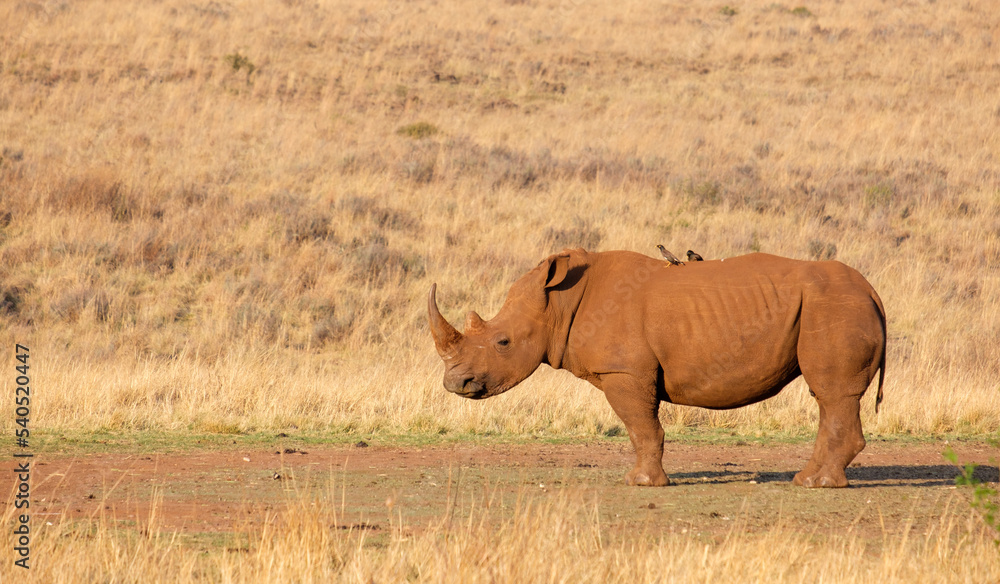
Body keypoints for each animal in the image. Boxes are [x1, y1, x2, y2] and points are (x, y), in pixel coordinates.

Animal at [429, 249, 887, 488]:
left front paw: (641, 483)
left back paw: (813, 484)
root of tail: (872, 291)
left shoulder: (624, 371)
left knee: (832, 393)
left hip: (834, 307)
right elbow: (641, 427)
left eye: (502, 342)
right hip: (833, 306)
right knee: (829, 398)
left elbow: (640, 426)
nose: (454, 383)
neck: (558, 303)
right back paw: (809, 480)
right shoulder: (627, 371)